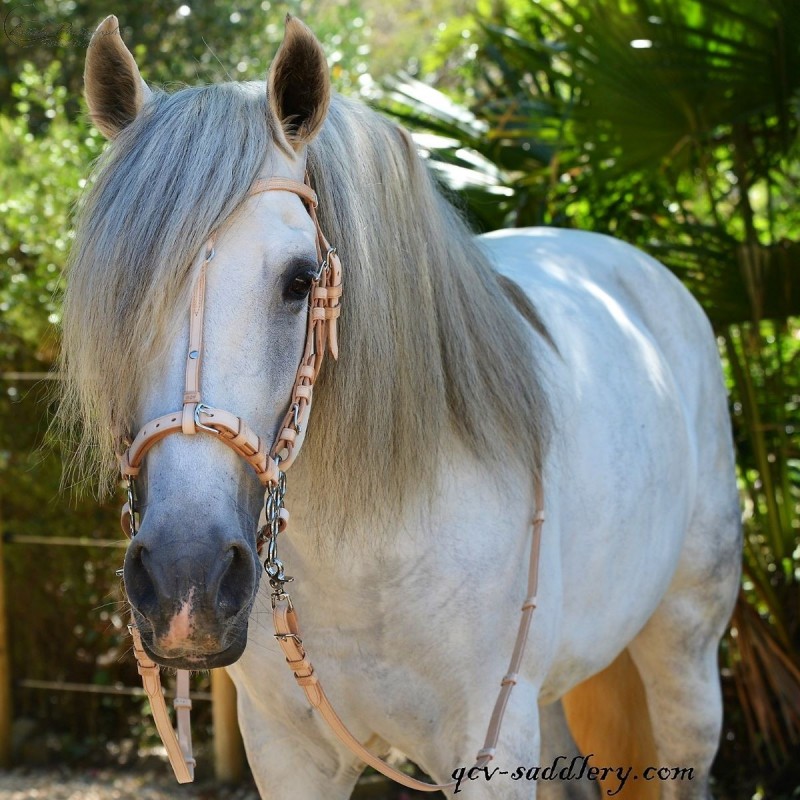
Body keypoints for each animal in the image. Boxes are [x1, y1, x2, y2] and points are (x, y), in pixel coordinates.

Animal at [59, 14, 742, 799]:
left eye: (300, 279)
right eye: (113, 294)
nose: (185, 579)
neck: (365, 554)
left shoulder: (488, 750)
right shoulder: (290, 752)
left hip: (685, 652)